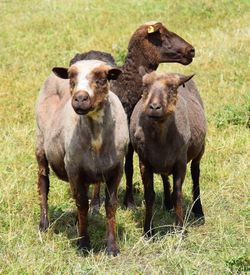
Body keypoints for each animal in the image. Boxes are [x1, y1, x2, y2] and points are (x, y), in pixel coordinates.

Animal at [35, 60, 130, 256]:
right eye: (72, 78)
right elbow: (81, 204)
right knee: (43, 183)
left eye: (102, 79)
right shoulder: (73, 169)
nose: (80, 98)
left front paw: (112, 247)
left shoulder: (117, 169)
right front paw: (84, 244)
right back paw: (44, 224)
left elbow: (111, 205)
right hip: (40, 142)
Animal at [130, 71, 206, 237]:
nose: (154, 107)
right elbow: (149, 195)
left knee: (196, 174)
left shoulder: (180, 163)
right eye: (145, 87)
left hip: (200, 149)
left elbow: (177, 194)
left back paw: (198, 210)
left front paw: (180, 230)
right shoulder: (144, 162)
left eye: (172, 88)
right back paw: (167, 204)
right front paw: (148, 231)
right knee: (165, 177)